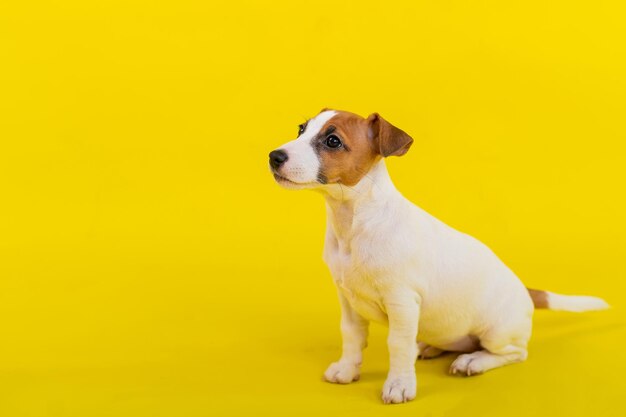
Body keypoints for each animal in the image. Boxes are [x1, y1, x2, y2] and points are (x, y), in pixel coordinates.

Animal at [266, 108, 604, 404]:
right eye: (301, 129)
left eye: (333, 141)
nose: (274, 156)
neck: (354, 223)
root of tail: (525, 291)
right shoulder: (348, 300)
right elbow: (351, 337)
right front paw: (347, 370)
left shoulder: (402, 302)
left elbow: (398, 346)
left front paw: (399, 385)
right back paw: (430, 347)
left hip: (496, 332)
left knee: (513, 353)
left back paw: (473, 361)